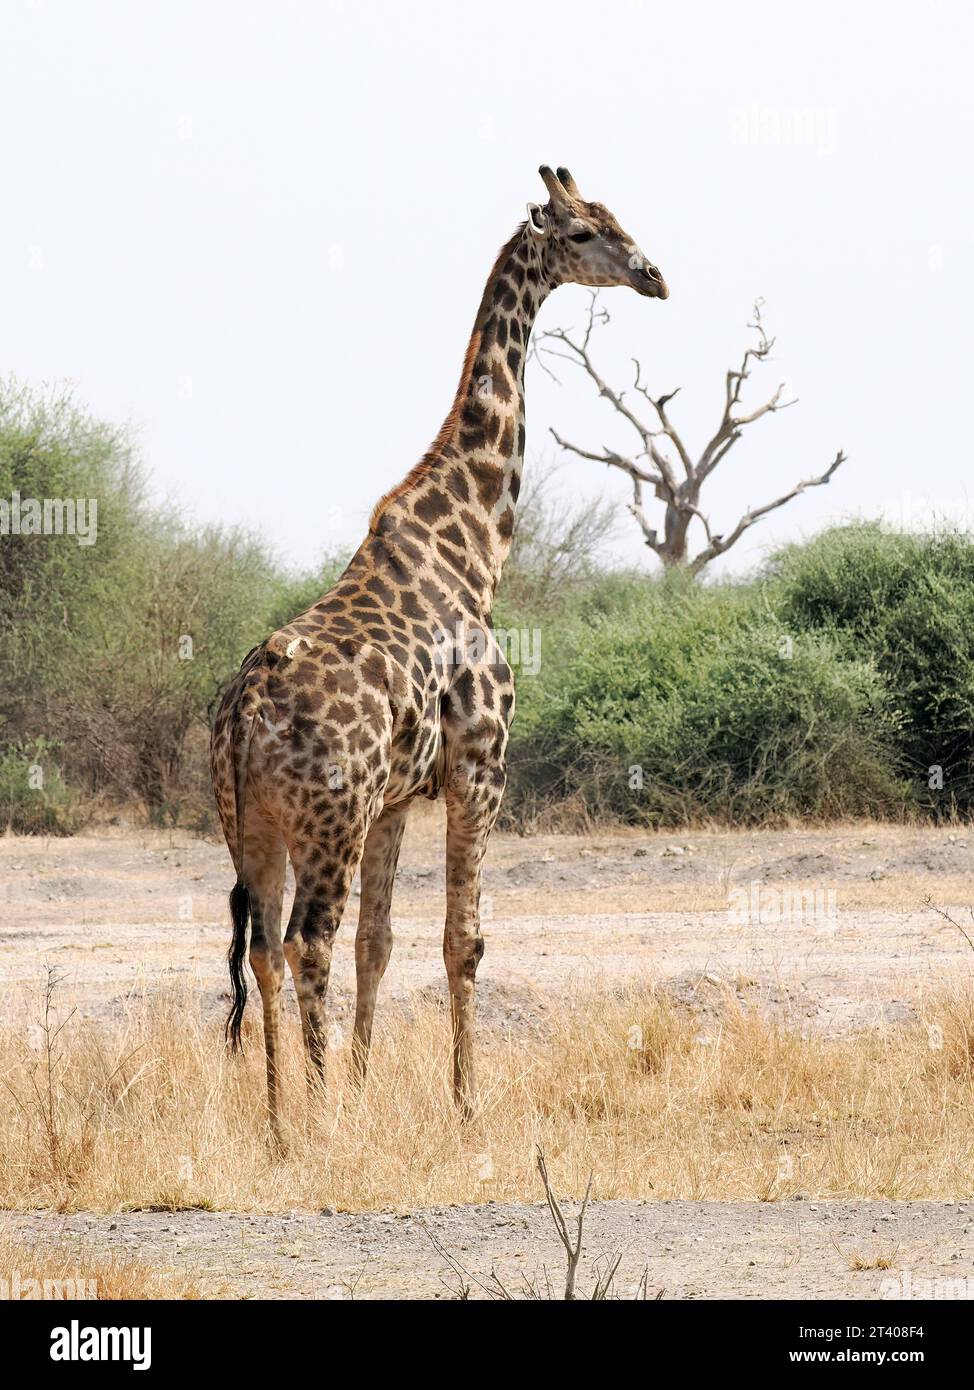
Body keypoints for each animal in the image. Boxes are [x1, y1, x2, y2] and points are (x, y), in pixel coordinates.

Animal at [210, 166, 667, 1144]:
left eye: (617, 218)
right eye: (585, 231)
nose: (655, 275)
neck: (478, 546)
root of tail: (242, 714)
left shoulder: (395, 801)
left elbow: (381, 946)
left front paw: (363, 1087)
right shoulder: (479, 768)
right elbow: (465, 940)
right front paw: (463, 1103)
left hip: (252, 824)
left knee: (265, 947)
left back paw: (279, 1119)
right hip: (327, 818)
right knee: (306, 940)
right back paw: (314, 1118)